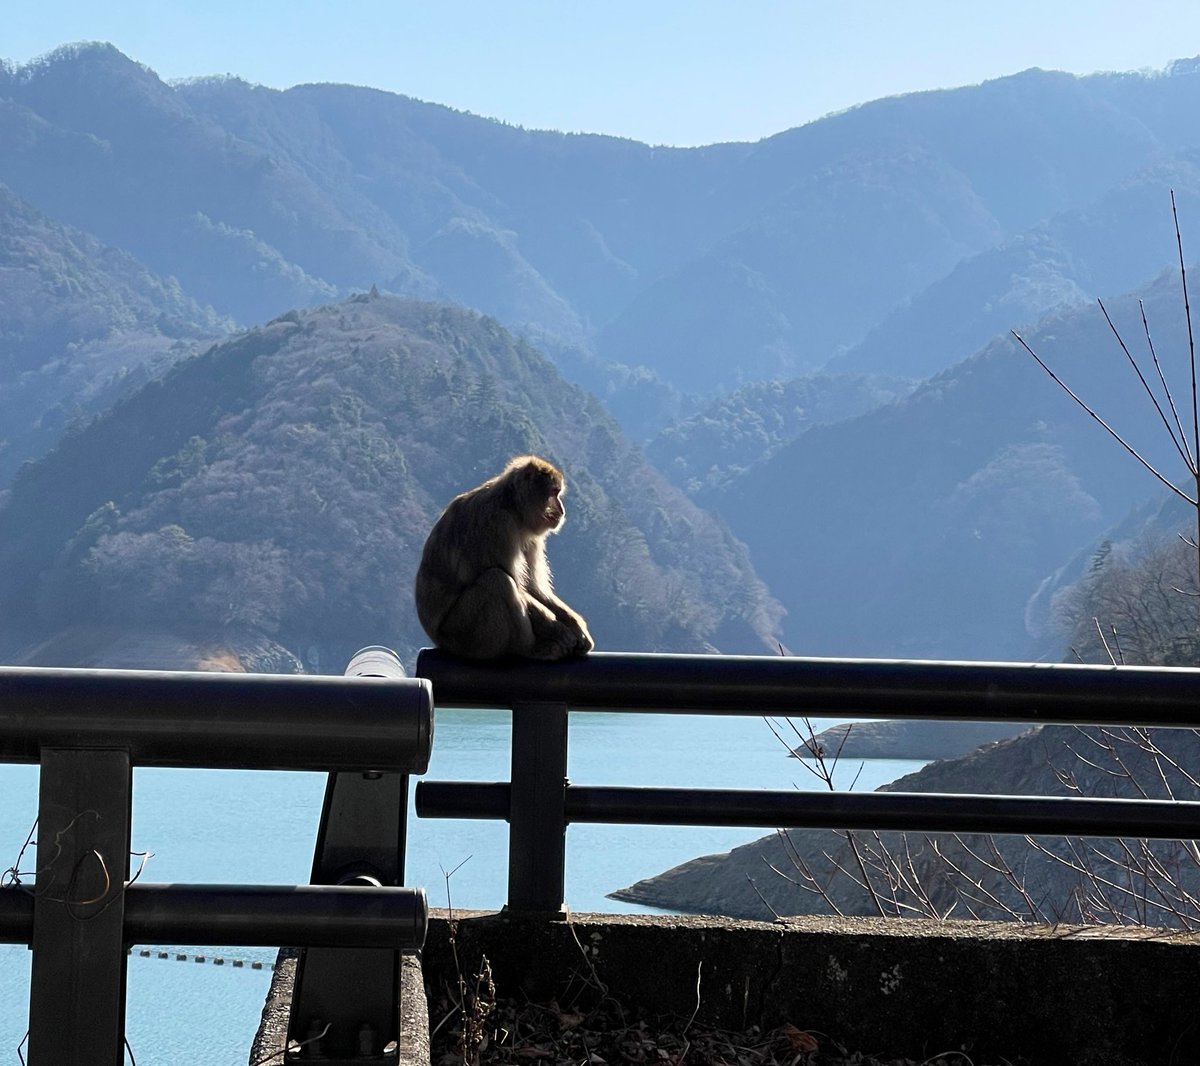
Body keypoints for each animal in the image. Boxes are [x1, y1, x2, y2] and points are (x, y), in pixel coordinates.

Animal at [415, 455, 594, 660]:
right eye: (554, 492)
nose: (561, 511)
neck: (512, 505)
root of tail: (436, 638)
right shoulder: (499, 524)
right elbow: (515, 582)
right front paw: (558, 630)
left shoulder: (533, 537)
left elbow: (533, 587)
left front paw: (577, 627)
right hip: (460, 634)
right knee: (498, 580)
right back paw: (530, 649)